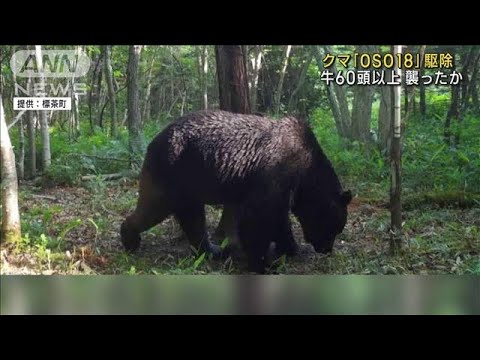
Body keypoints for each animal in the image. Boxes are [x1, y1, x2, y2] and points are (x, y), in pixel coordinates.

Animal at [121, 109, 352, 272]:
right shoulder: (275, 174)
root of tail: (154, 140)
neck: (305, 172)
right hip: (173, 170)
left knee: (192, 218)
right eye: (335, 227)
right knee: (155, 207)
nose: (326, 249)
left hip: (189, 183)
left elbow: (277, 219)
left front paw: (291, 247)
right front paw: (264, 262)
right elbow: (261, 218)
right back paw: (130, 238)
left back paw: (212, 250)